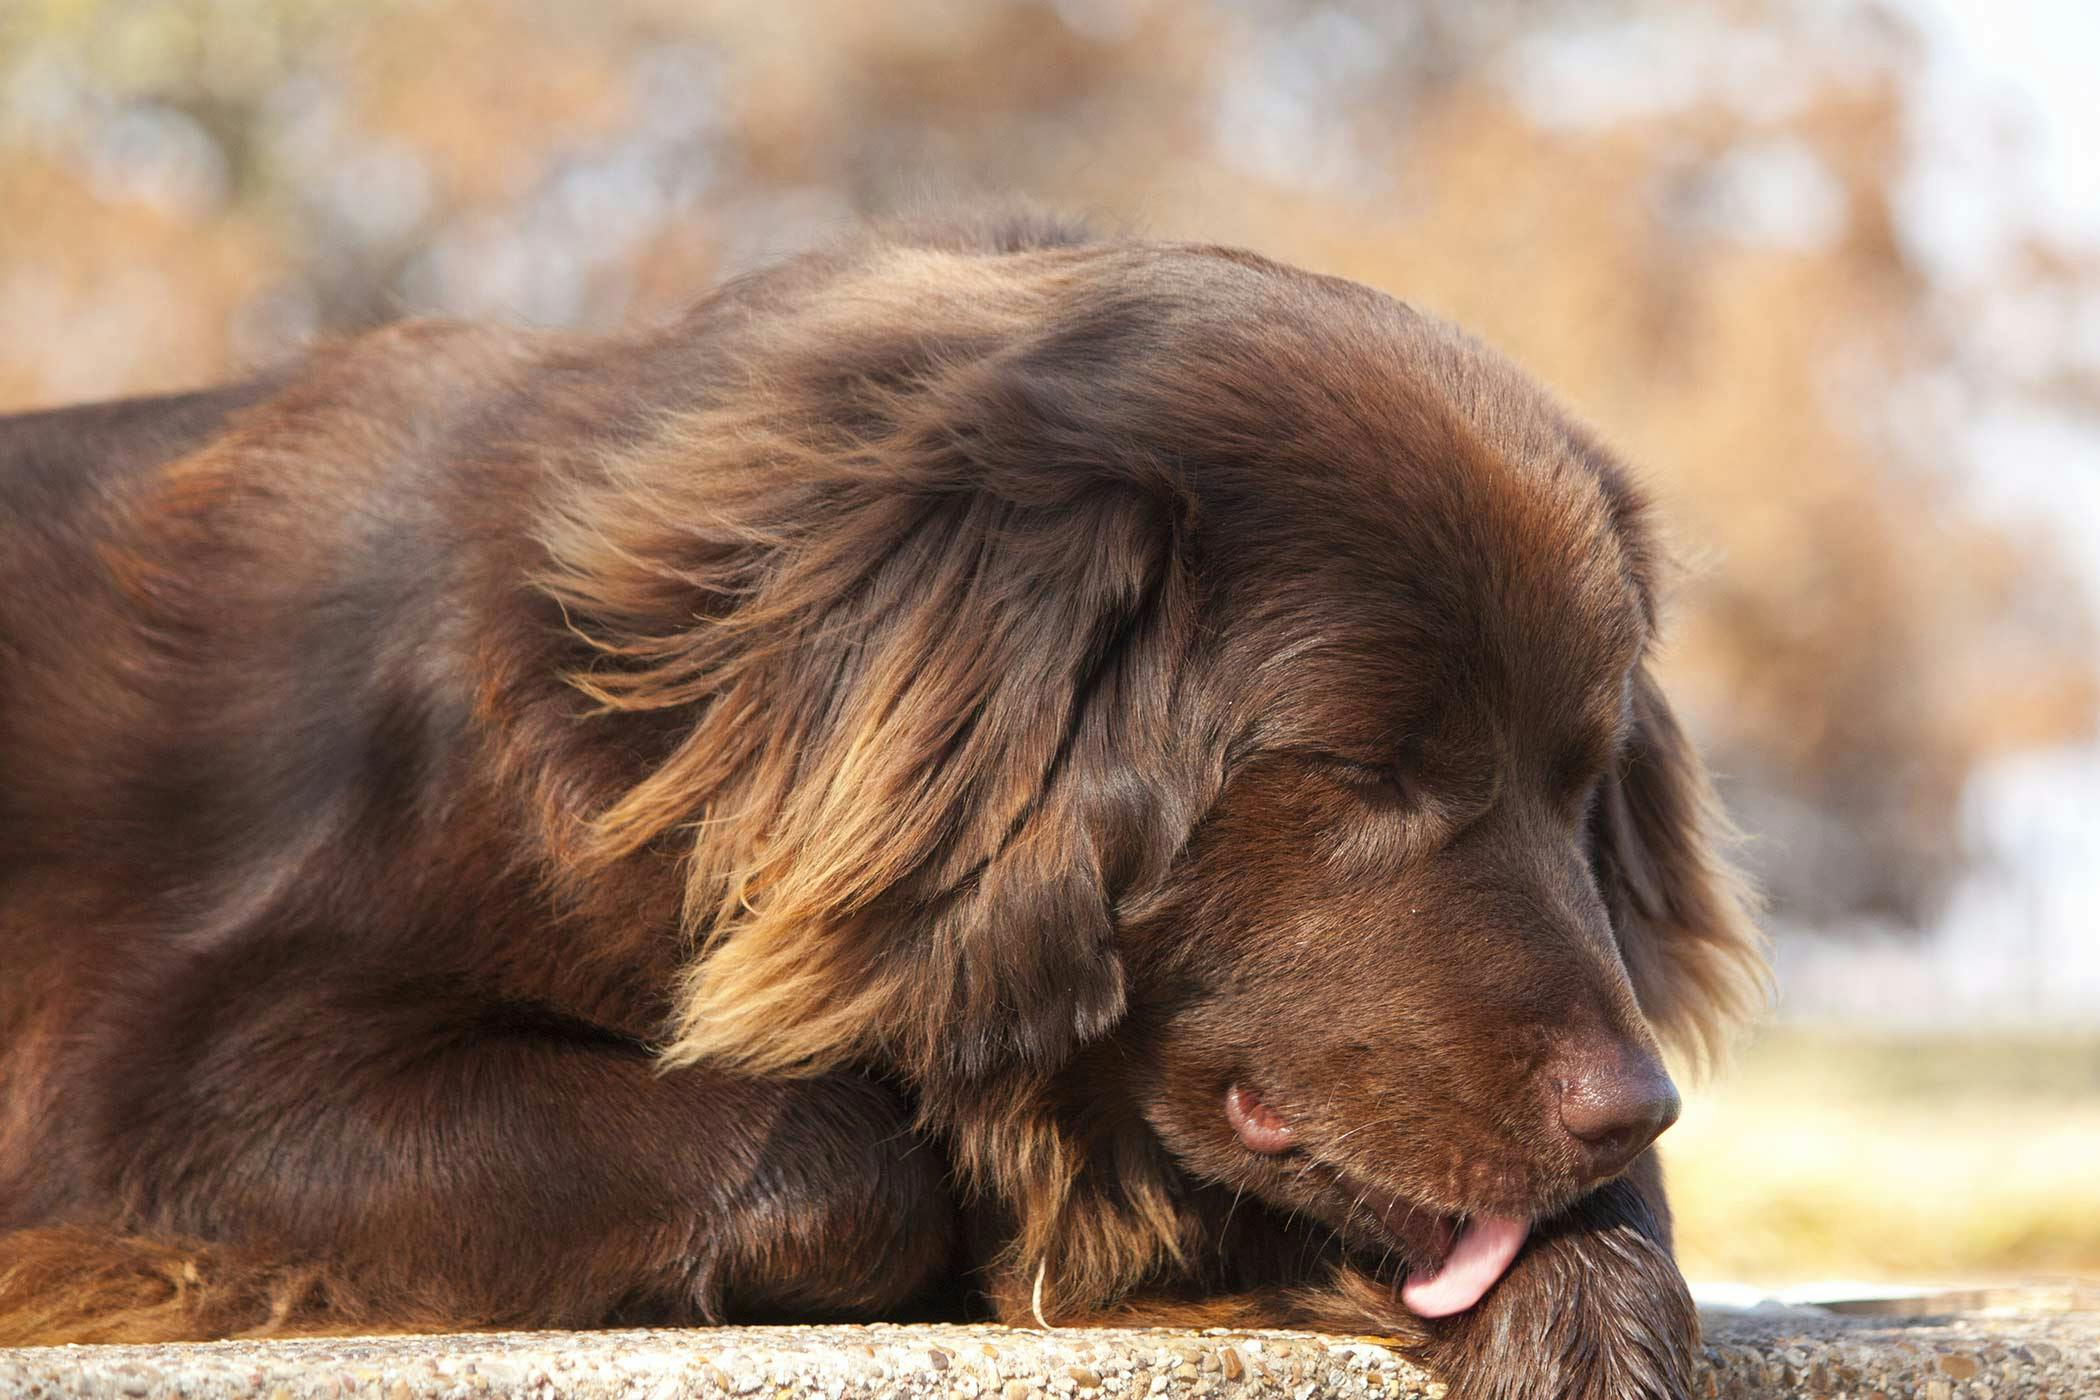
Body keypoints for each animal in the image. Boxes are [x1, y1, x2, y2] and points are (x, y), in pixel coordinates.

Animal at [4, 214, 1755, 1393]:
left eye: (1581, 786)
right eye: (1361, 768)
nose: (1637, 1102)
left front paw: (1580, 1299)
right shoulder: (176, 1094)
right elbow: (832, 1153)